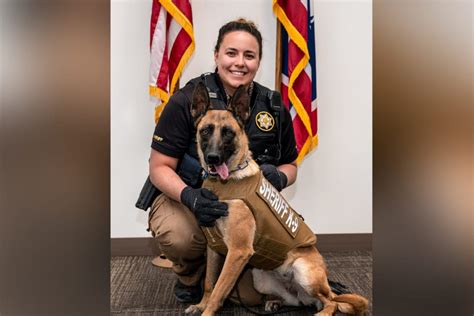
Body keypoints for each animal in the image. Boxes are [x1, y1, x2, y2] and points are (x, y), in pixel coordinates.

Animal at [183, 82, 368, 314]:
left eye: (228, 133)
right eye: (206, 130)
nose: (213, 158)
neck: (228, 181)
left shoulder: (238, 252)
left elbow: (218, 290)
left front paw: (207, 310)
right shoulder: (214, 248)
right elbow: (209, 282)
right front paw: (200, 305)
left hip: (303, 271)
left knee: (331, 301)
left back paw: (322, 311)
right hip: (260, 277)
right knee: (298, 301)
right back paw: (275, 302)